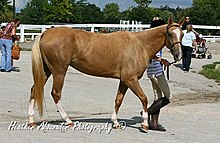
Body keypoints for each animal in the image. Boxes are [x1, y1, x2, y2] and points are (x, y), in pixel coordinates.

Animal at [28, 17, 185, 132]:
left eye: (182, 34)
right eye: (170, 34)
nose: (179, 55)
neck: (139, 44)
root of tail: (46, 33)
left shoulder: (124, 81)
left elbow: (118, 100)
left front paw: (115, 123)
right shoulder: (131, 80)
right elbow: (144, 99)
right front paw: (145, 125)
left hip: (46, 71)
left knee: (35, 89)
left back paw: (31, 121)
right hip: (59, 71)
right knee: (56, 93)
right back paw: (68, 120)